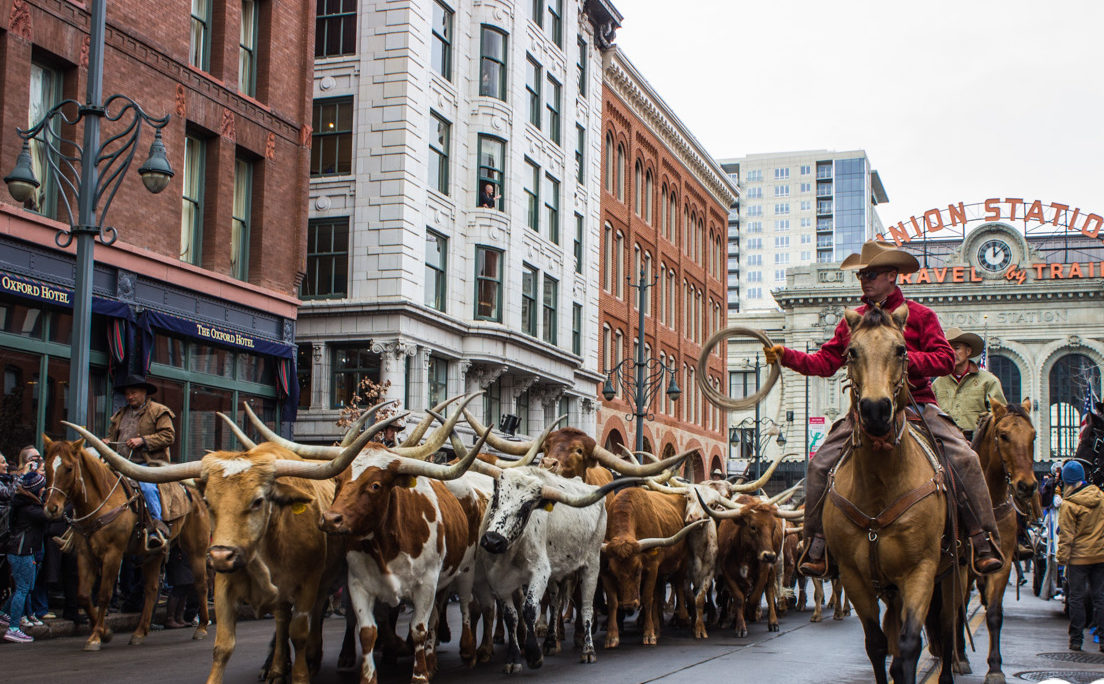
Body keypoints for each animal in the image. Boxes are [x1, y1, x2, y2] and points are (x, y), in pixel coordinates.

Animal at [41, 434, 210, 648]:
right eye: (47, 466)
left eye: (69, 468)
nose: (51, 508)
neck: (101, 500)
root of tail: (195, 491)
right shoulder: (85, 553)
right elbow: (84, 595)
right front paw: (104, 632)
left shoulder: (113, 553)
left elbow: (104, 594)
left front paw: (96, 636)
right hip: (153, 553)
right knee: (151, 589)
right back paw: (139, 632)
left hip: (196, 549)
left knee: (201, 584)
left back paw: (202, 627)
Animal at [825, 304, 962, 684]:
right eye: (851, 351)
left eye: (901, 350)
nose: (875, 410)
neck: (880, 484)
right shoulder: (854, 577)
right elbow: (877, 645)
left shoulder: (921, 570)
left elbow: (909, 646)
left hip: (950, 575)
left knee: (947, 629)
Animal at [949, 397, 1033, 679]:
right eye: (1003, 435)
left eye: (1033, 435)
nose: (1027, 485)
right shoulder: (961, 565)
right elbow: (958, 607)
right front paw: (959, 658)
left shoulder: (1002, 562)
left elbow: (995, 612)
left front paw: (995, 669)